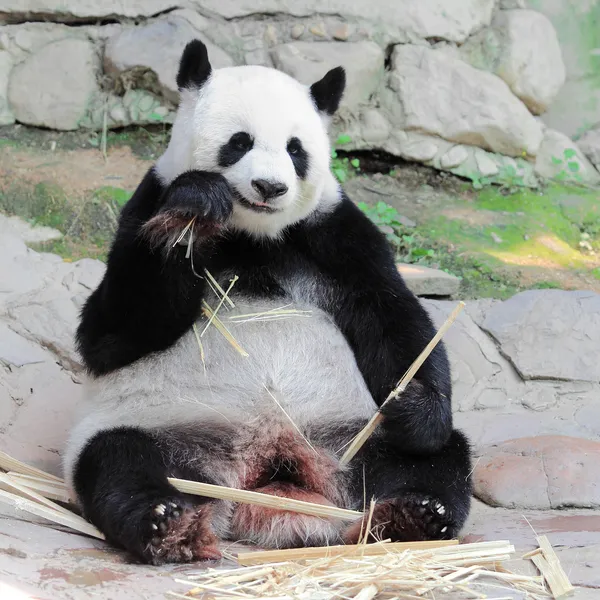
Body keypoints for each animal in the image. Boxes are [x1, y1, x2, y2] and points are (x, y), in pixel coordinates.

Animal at [63, 39, 472, 564]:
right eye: (240, 141)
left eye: (296, 150)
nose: (270, 187)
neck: (252, 236)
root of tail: (268, 465)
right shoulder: (146, 205)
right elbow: (111, 334)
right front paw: (196, 210)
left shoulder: (333, 233)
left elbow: (395, 317)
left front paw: (413, 406)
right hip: (163, 429)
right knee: (119, 461)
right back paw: (169, 523)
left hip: (349, 435)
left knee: (432, 461)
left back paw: (412, 516)